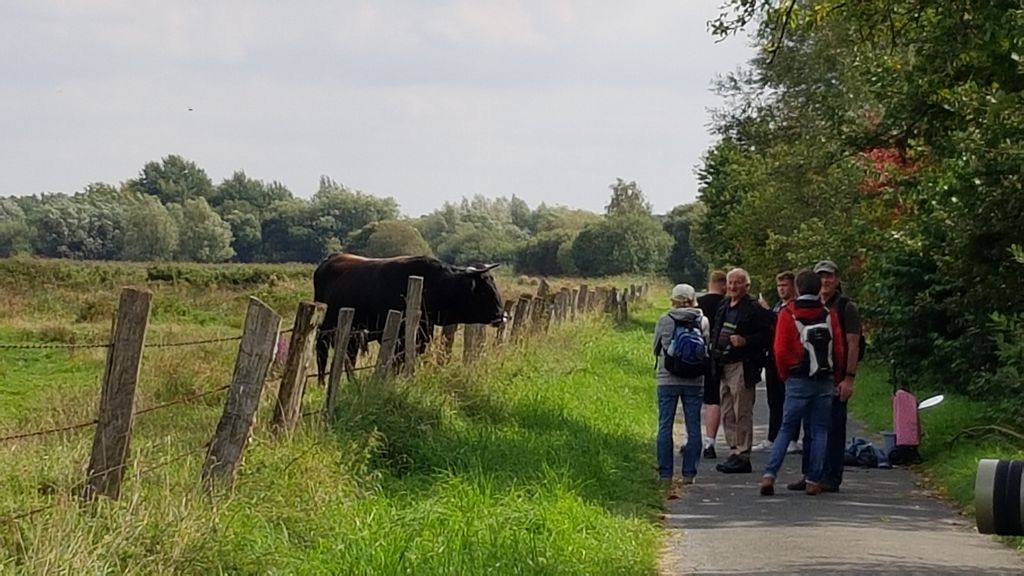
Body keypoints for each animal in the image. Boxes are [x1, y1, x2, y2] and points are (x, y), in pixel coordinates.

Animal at [311, 252, 503, 381]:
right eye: (484, 291)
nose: (502, 315)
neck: (434, 284)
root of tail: (332, 258)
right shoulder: (397, 337)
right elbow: (396, 362)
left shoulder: (421, 336)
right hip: (326, 329)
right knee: (322, 353)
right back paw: (321, 383)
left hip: (351, 334)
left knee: (348, 358)